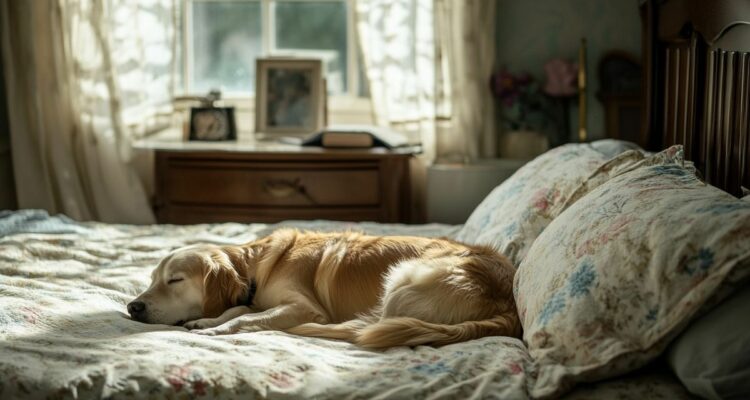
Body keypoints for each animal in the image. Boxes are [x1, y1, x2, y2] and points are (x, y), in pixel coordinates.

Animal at [126, 230, 520, 348]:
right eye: (151, 279)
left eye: (174, 280)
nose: (133, 307)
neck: (257, 266)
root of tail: (510, 302)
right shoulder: (258, 300)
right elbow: (239, 309)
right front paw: (208, 321)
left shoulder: (304, 306)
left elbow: (243, 319)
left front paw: (215, 328)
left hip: (404, 278)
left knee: (365, 328)